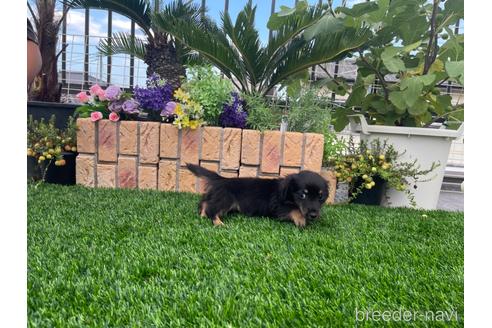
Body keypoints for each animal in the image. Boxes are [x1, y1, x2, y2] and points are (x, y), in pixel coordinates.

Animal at [186, 163, 328, 227]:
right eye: (302, 195)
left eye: (320, 197)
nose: (314, 215)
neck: (287, 193)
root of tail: (222, 179)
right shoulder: (278, 206)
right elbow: (294, 209)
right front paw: (301, 220)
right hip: (226, 199)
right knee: (212, 209)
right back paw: (218, 222)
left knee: (205, 201)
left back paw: (202, 214)